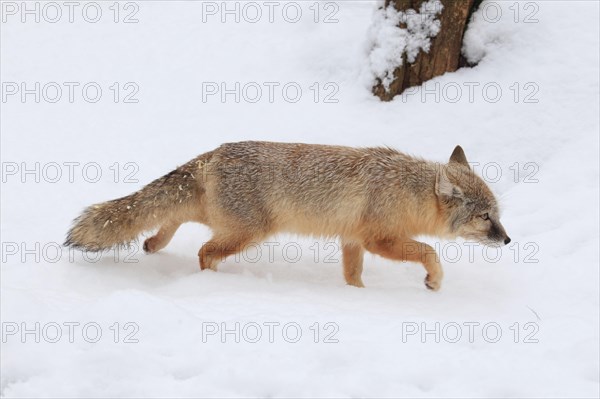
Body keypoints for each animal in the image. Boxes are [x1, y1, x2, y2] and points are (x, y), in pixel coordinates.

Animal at [64, 141, 510, 290]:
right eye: (486, 217)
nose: (507, 240)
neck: (406, 189)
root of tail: (213, 153)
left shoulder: (352, 241)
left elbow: (353, 277)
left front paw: (359, 298)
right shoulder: (377, 239)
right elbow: (430, 253)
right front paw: (434, 282)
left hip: (223, 222)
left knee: (172, 221)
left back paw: (154, 244)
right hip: (247, 234)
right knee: (204, 252)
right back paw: (212, 284)